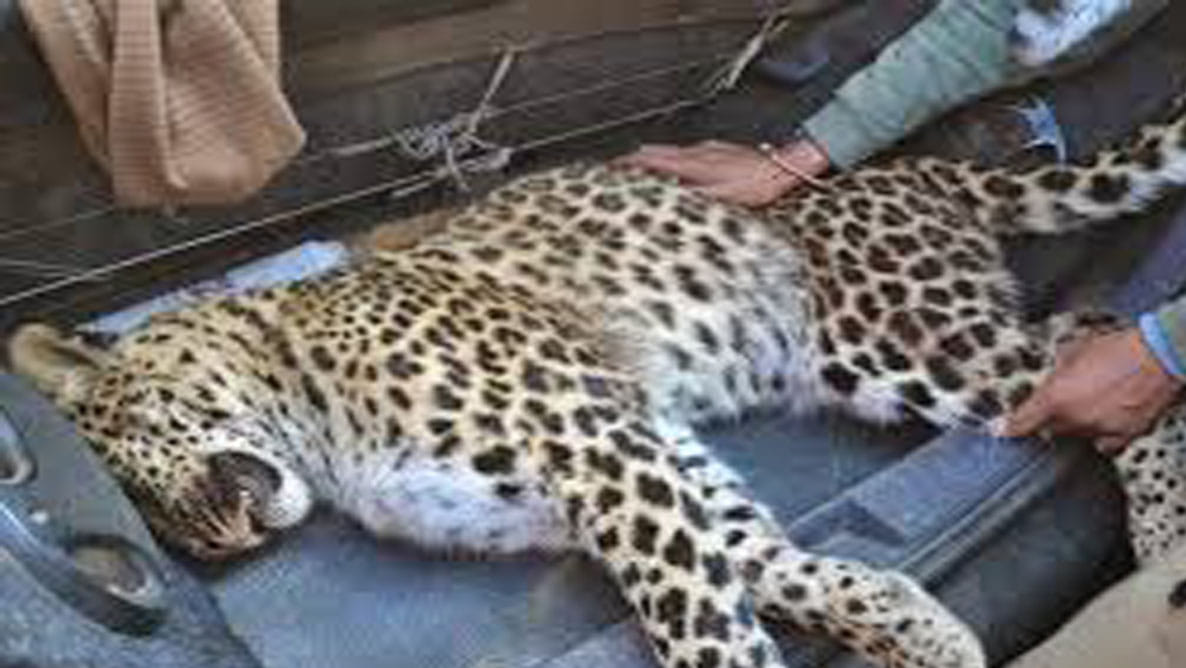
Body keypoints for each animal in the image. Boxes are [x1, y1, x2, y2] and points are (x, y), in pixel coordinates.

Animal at [11, 89, 1186, 668]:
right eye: (169, 540)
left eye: (136, 461)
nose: (215, 539)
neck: (317, 435)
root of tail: (920, 169)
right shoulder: (644, 454)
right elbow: (764, 562)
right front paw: (917, 630)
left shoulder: (592, 443)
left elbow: (700, 623)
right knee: (1087, 328)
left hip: (905, 337)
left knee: (1103, 374)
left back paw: (1163, 542)